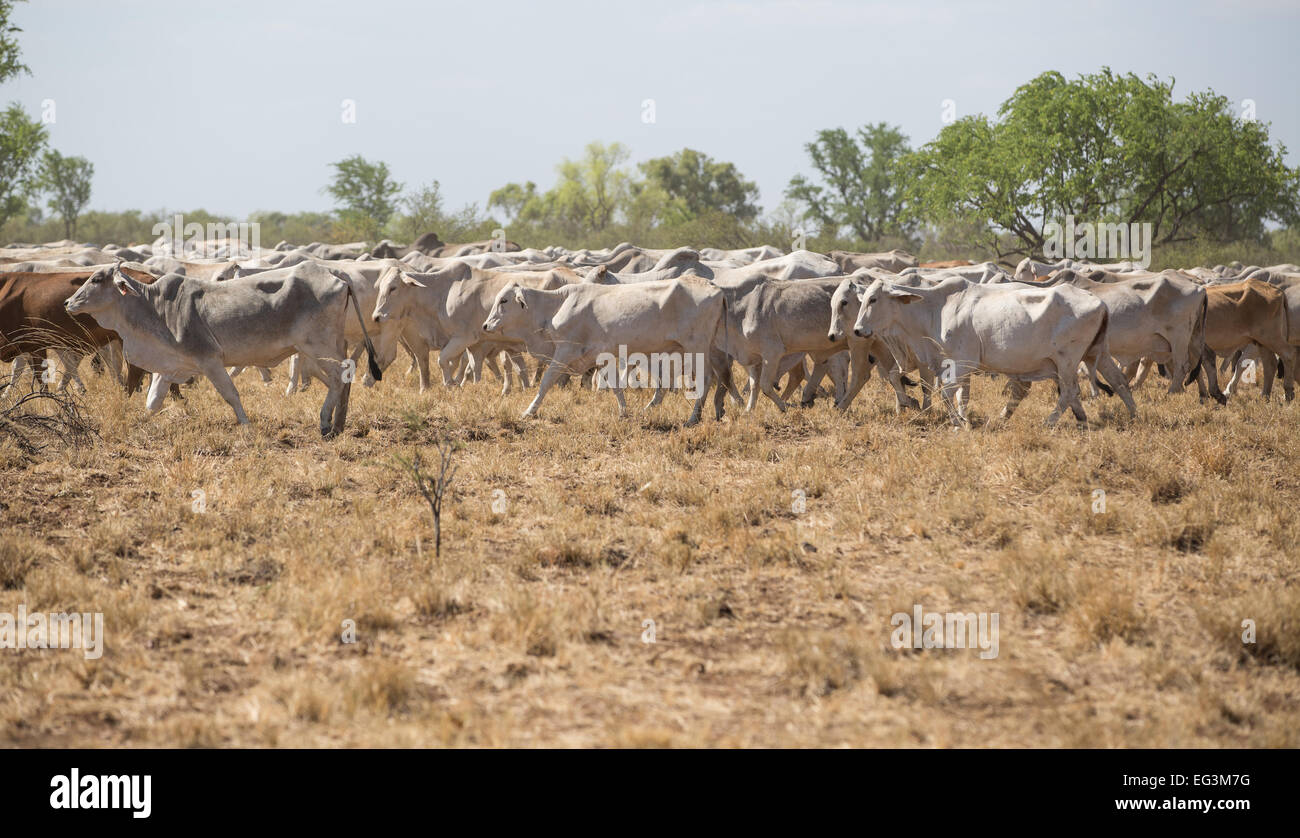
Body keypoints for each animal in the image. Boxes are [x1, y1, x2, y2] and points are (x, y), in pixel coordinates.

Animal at [64, 263, 380, 436]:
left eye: (97, 279)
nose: (68, 302)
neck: (156, 307)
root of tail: (336, 274)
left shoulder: (210, 360)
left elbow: (231, 394)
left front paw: (246, 426)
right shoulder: (170, 366)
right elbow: (153, 402)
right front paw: (140, 421)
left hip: (318, 347)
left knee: (340, 377)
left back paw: (326, 423)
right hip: (323, 349)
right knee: (342, 381)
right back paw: (338, 424)